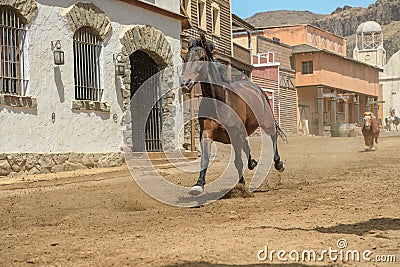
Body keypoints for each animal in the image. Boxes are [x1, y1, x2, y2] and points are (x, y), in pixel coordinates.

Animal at [181, 34, 284, 196]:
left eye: (202, 57)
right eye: (185, 58)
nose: (185, 83)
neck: (219, 101)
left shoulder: (234, 134)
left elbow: (237, 161)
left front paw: (241, 185)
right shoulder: (206, 134)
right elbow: (205, 159)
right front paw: (198, 185)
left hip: (266, 122)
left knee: (273, 136)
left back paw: (278, 163)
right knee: (246, 145)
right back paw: (252, 162)